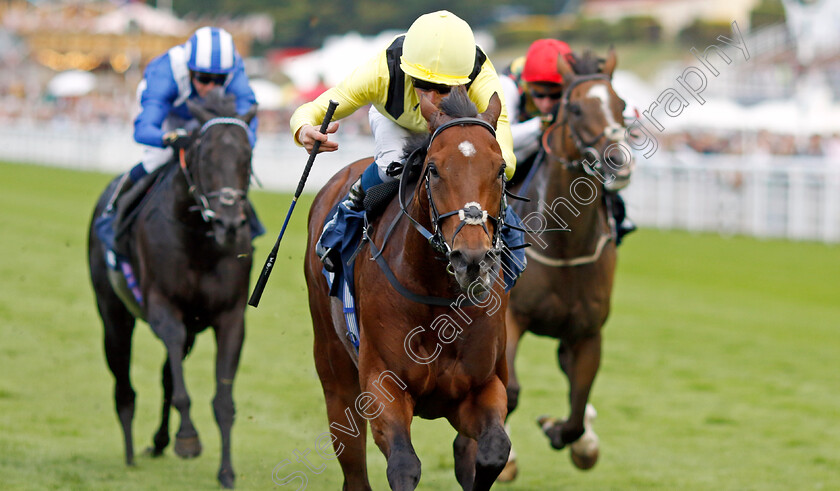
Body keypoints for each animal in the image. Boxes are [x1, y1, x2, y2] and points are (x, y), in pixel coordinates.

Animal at [85, 90, 258, 490]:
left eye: (247, 156)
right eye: (204, 156)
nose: (229, 224)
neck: (199, 240)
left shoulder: (230, 318)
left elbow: (222, 400)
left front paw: (226, 472)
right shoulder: (163, 309)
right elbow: (179, 388)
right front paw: (188, 439)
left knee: (166, 373)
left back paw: (159, 440)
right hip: (113, 315)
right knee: (124, 382)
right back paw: (131, 451)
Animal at [304, 88, 512, 491]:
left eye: (500, 169)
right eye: (433, 169)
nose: (472, 259)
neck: (438, 296)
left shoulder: (481, 387)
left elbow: (493, 451)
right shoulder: (382, 384)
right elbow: (404, 465)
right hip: (334, 370)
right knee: (353, 466)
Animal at [498, 48, 632, 478]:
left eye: (622, 105)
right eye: (573, 108)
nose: (619, 162)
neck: (565, 246)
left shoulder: (588, 333)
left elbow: (577, 403)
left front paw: (566, 434)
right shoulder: (511, 317)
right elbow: (511, 390)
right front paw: (506, 459)